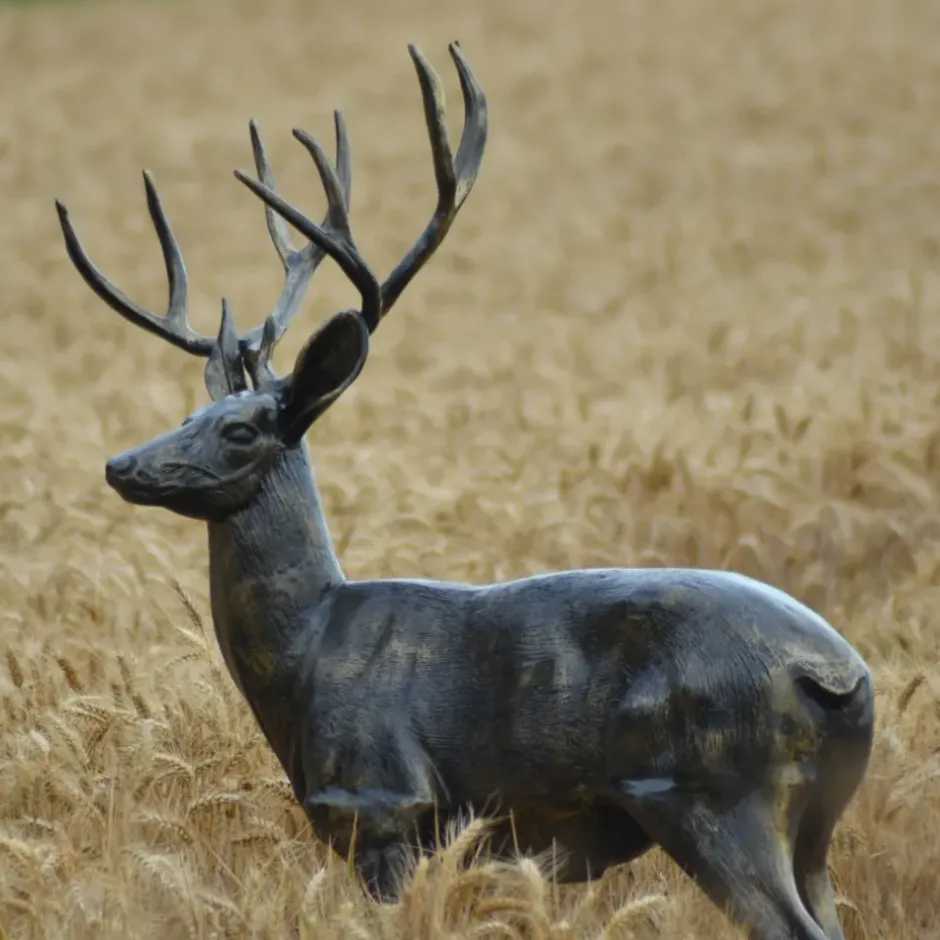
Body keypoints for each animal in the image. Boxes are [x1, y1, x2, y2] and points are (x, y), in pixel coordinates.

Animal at [54, 42, 874, 940]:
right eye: (190, 412)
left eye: (241, 430)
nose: (121, 464)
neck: (309, 644)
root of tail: (838, 676)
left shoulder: (380, 800)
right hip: (813, 824)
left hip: (708, 791)